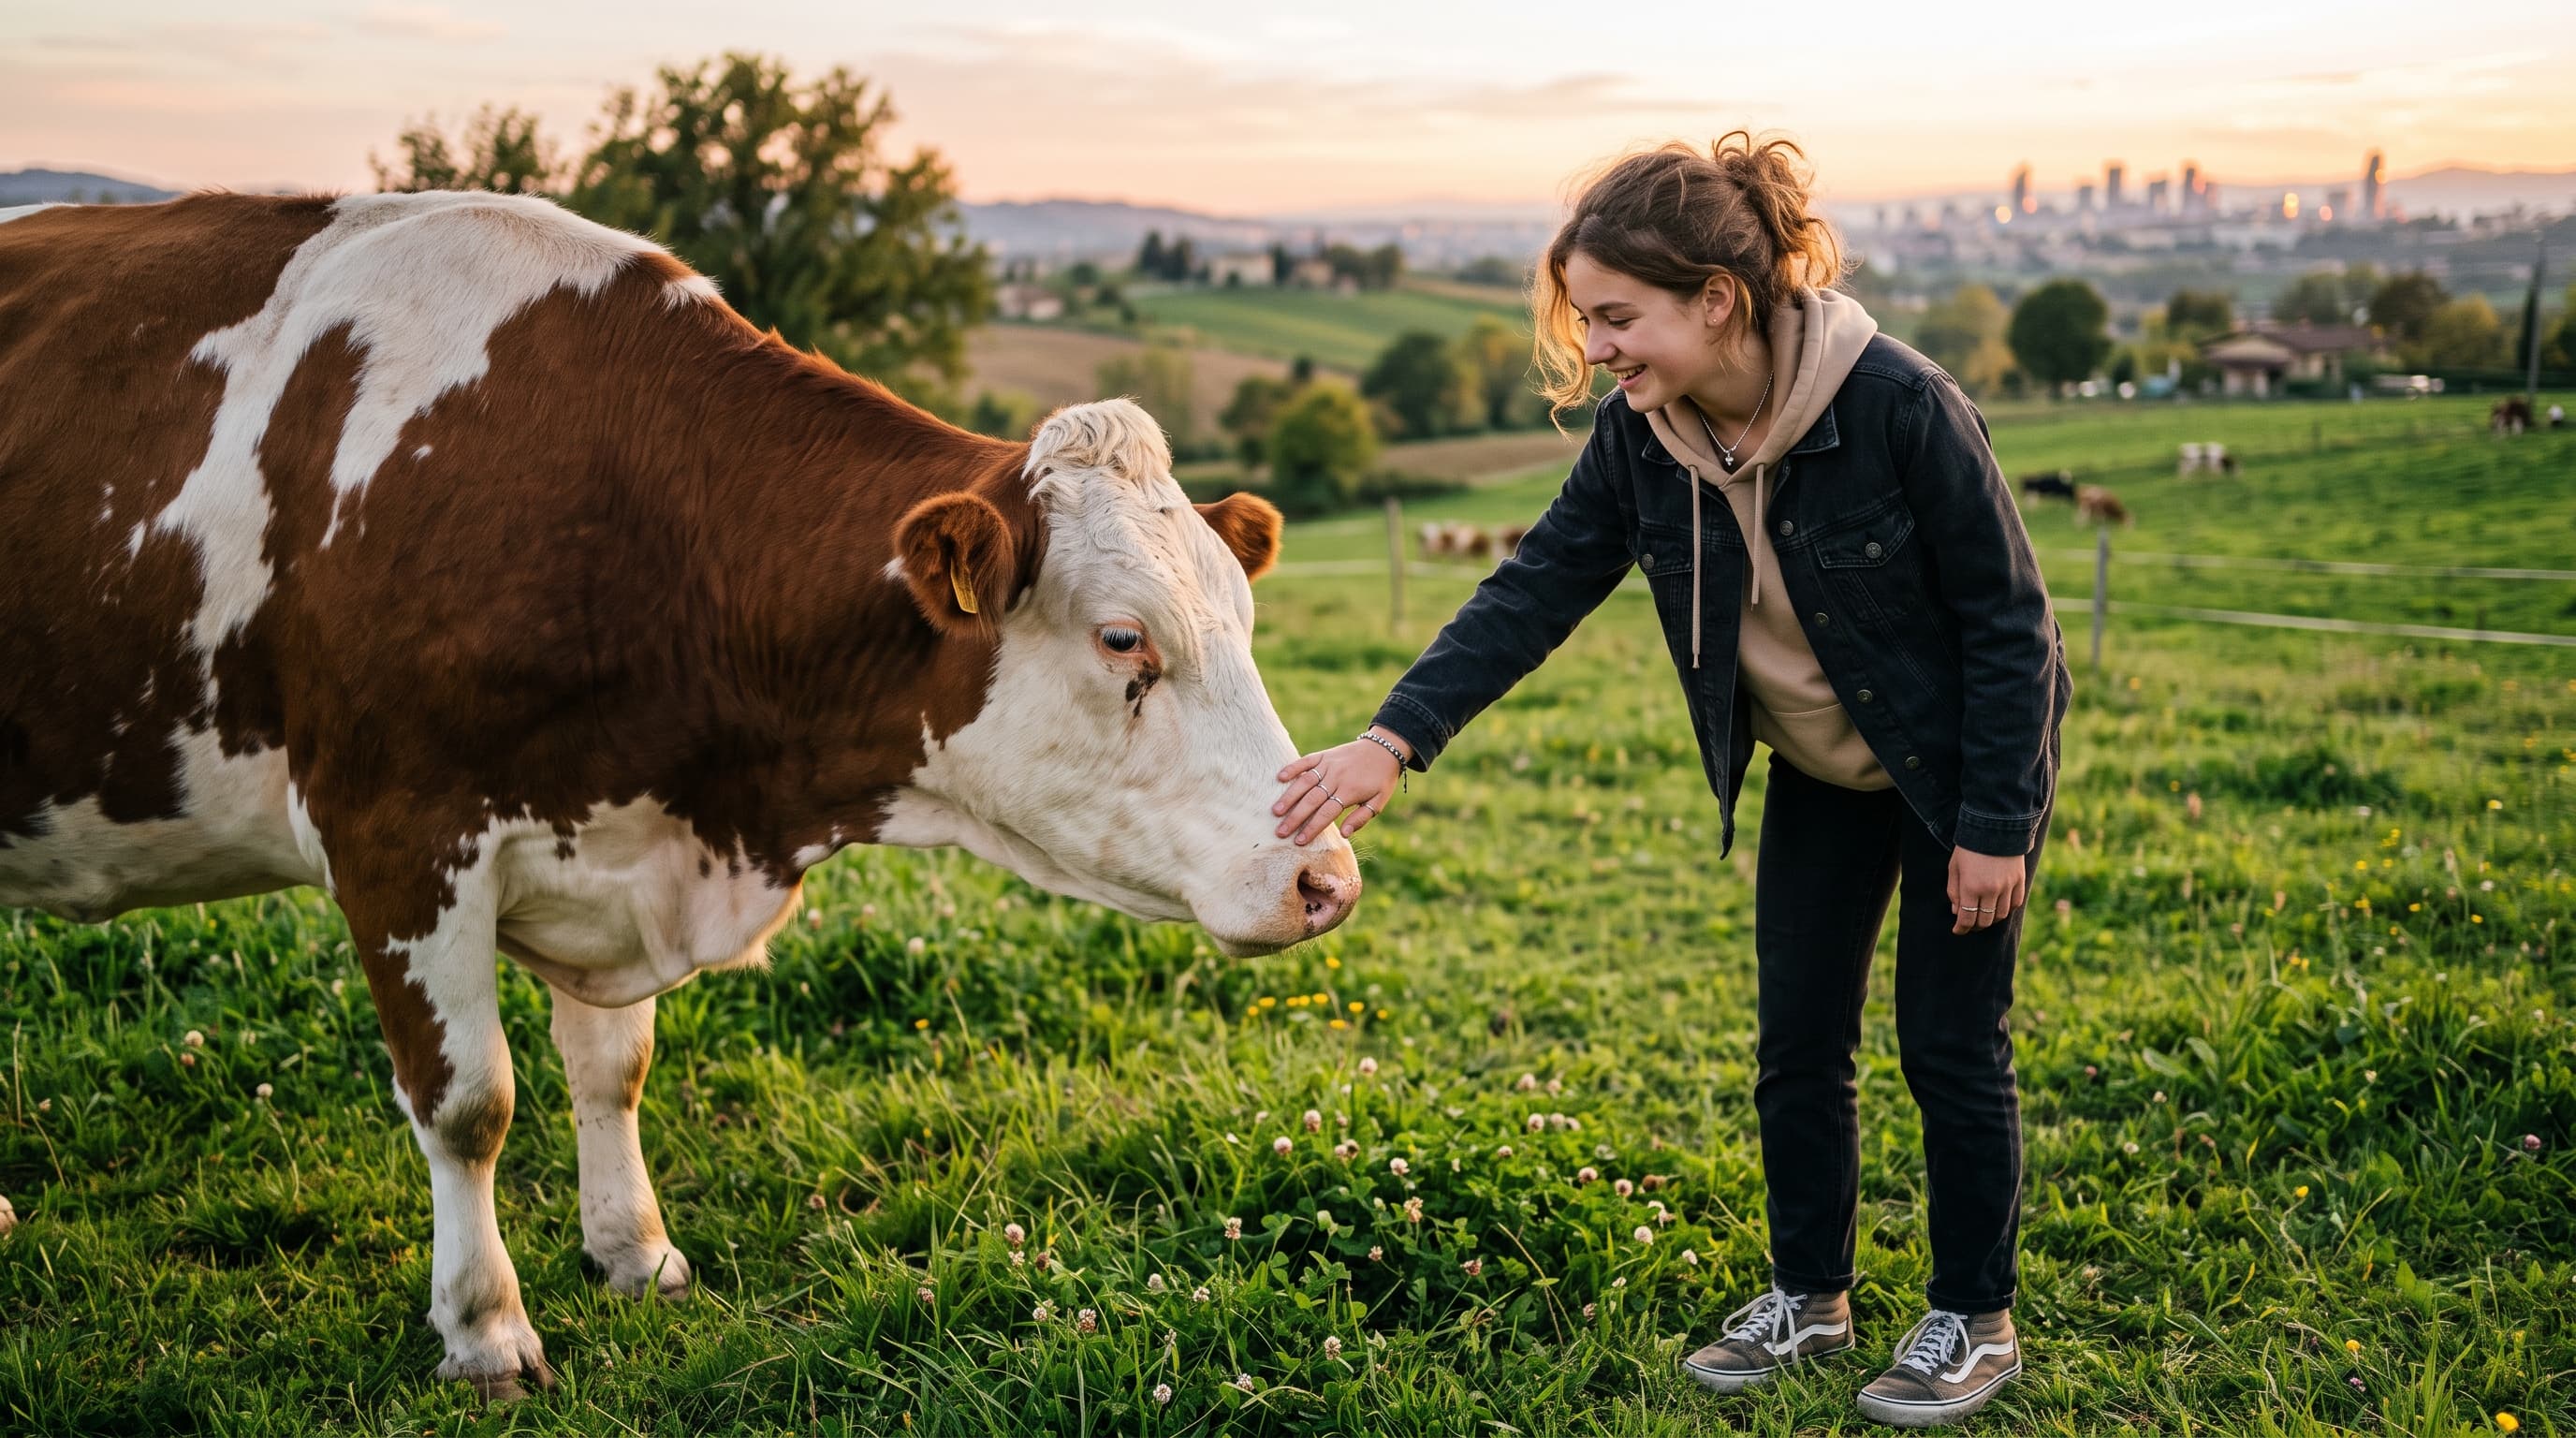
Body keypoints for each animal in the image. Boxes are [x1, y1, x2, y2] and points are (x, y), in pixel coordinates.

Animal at [0, 193, 1362, 1399]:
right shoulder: (396, 836)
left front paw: (634, 1253)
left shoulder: (609, 837)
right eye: (1125, 639)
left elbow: (614, 1070)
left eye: (1244, 619)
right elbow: (469, 1102)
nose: (1326, 877)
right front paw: (486, 1330)